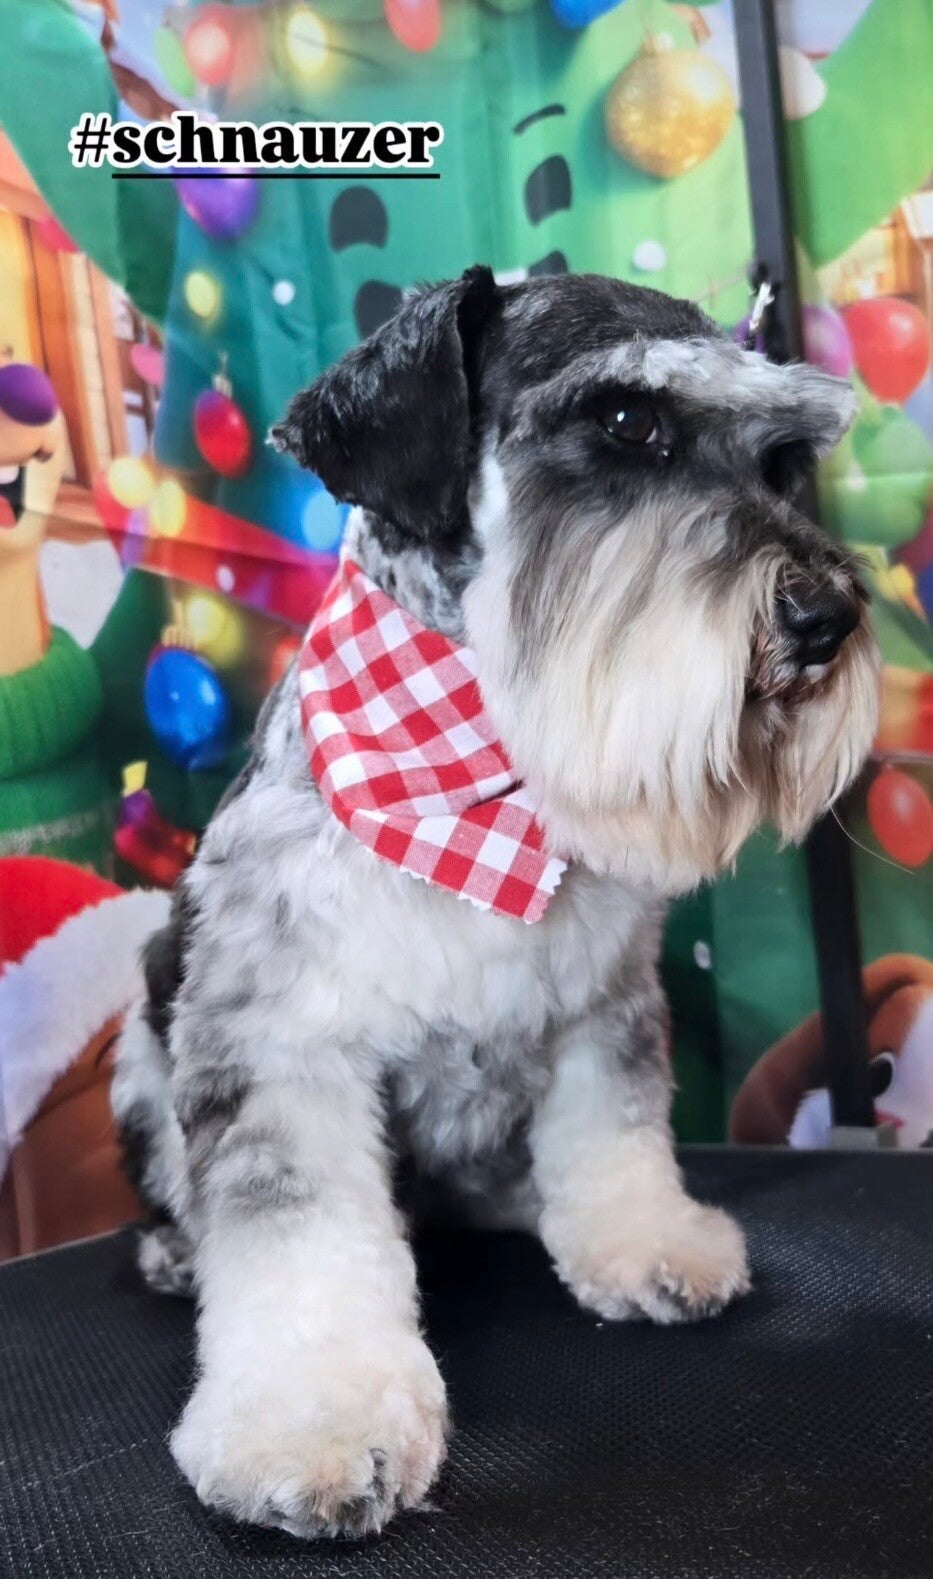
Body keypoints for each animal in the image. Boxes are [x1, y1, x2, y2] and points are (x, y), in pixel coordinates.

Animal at [112, 266, 879, 1540]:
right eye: (626, 421)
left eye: (779, 459)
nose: (826, 617)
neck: (482, 780)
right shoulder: (282, 1051)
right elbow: (295, 1238)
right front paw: (314, 1423)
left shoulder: (602, 1008)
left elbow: (614, 1138)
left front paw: (647, 1243)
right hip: (140, 1043)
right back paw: (177, 1252)